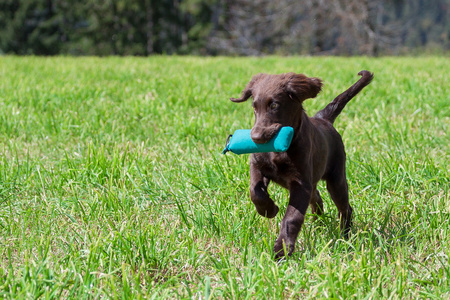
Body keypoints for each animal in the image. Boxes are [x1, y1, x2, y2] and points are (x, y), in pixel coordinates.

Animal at [230, 70, 374, 258]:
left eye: (274, 105)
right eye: (254, 107)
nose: (255, 138)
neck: (280, 150)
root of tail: (324, 119)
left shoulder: (300, 184)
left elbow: (292, 217)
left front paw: (281, 250)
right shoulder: (258, 166)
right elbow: (255, 192)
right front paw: (269, 210)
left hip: (336, 178)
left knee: (345, 208)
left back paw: (345, 236)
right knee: (317, 198)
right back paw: (319, 223)